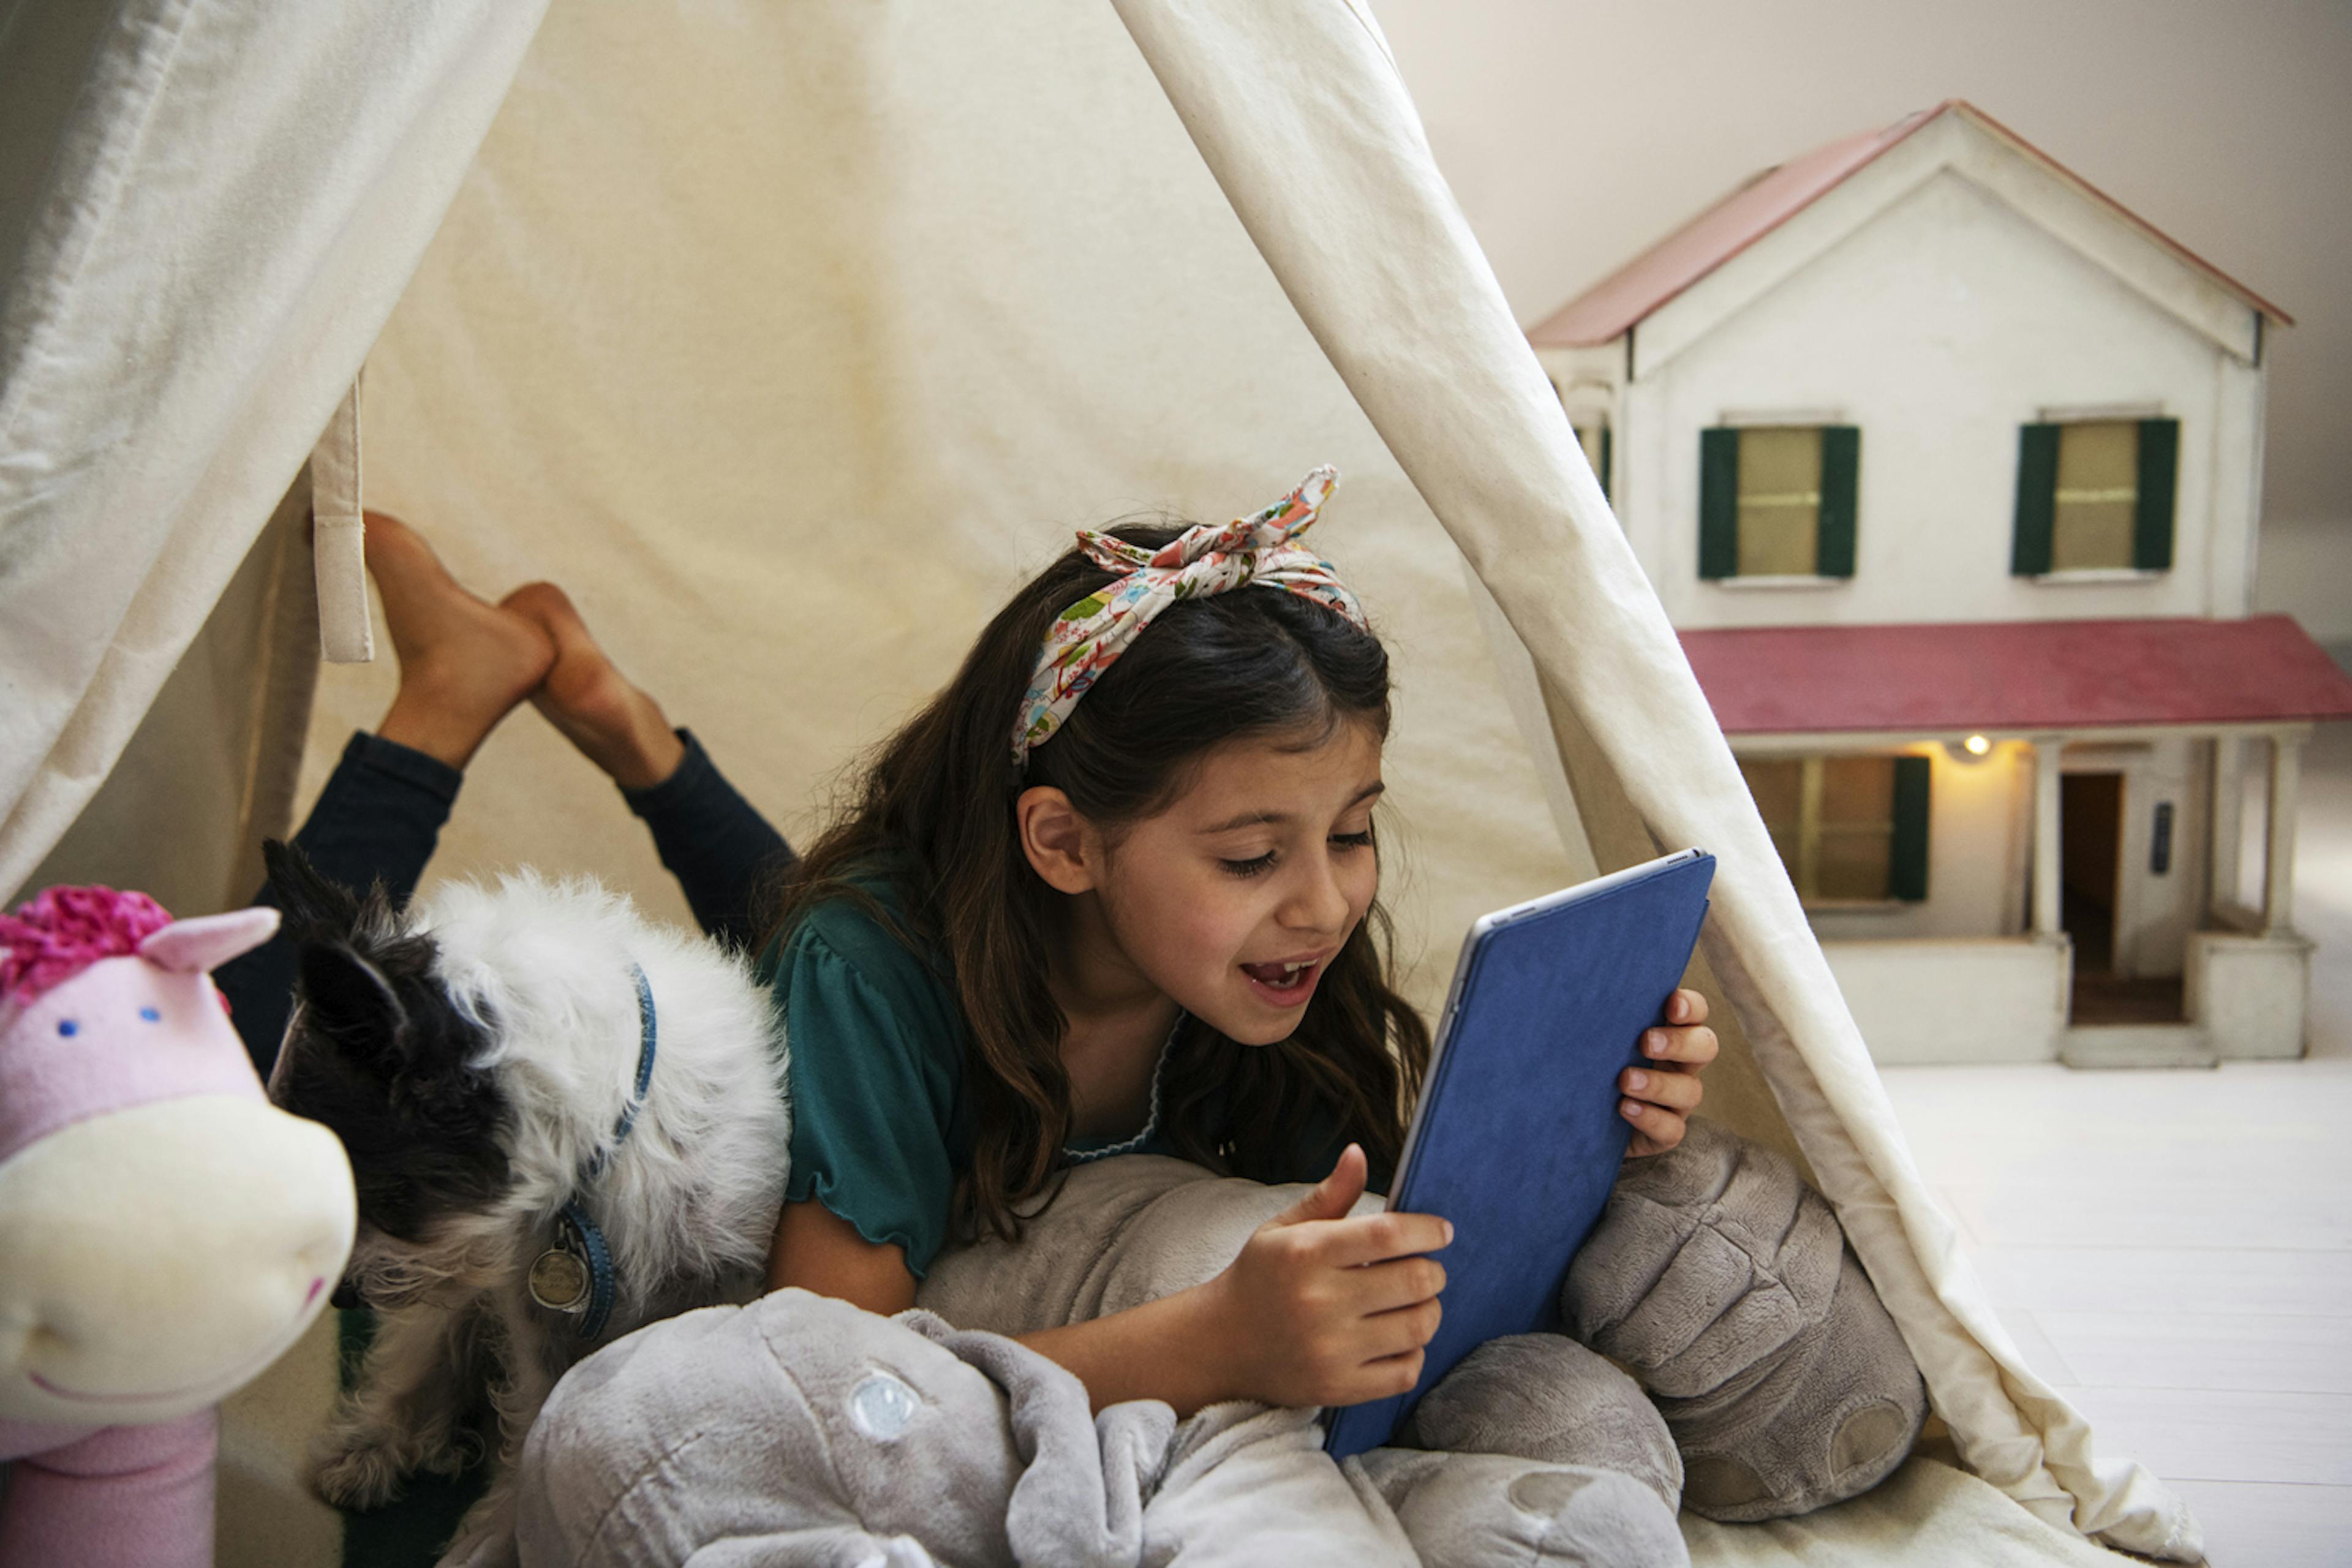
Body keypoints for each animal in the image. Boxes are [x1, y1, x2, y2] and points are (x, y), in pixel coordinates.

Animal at [262, 846, 785, 1568]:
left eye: (376, 1195)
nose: (342, 1297)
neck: (601, 1155)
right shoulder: (533, 1319)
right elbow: (530, 1421)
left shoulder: (723, 1278)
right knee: (419, 1359)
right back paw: (370, 1446)